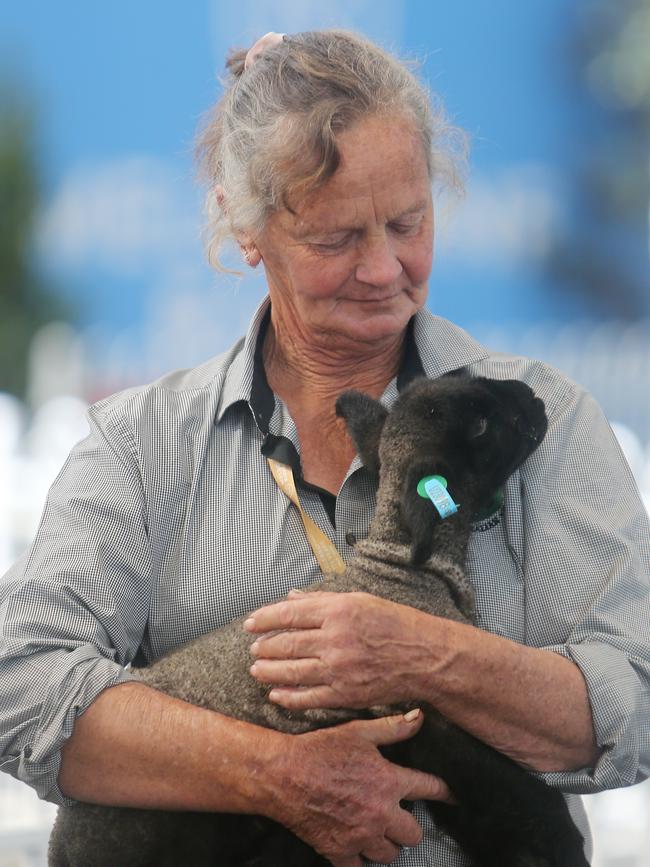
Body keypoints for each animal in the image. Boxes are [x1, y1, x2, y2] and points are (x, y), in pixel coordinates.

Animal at [50, 376, 588, 867]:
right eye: (480, 424)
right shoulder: (426, 723)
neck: (403, 571)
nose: (534, 397)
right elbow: (524, 805)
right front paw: (559, 849)